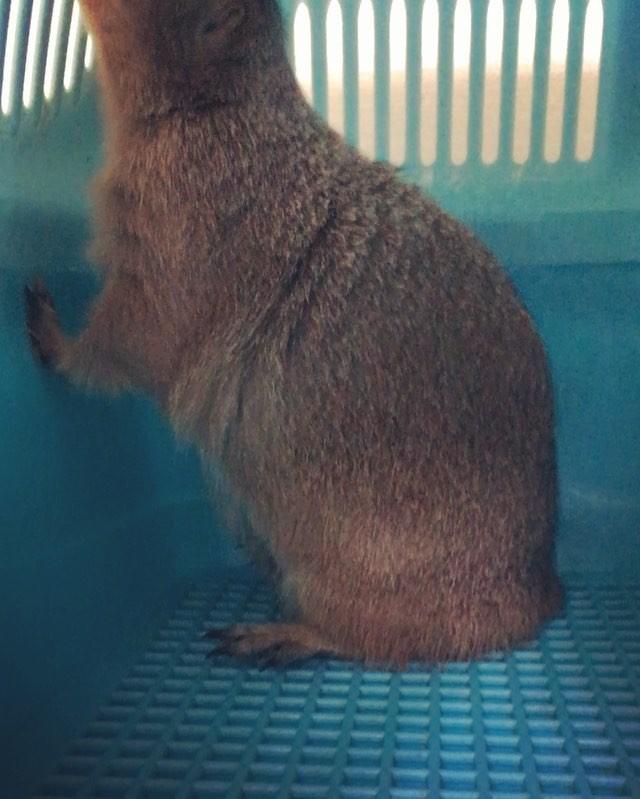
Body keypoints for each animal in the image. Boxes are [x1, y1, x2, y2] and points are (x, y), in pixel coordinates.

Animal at [25, 0, 564, 667]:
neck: (222, 110)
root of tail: (542, 594)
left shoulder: (170, 224)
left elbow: (133, 331)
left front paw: (46, 326)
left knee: (369, 637)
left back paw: (274, 635)